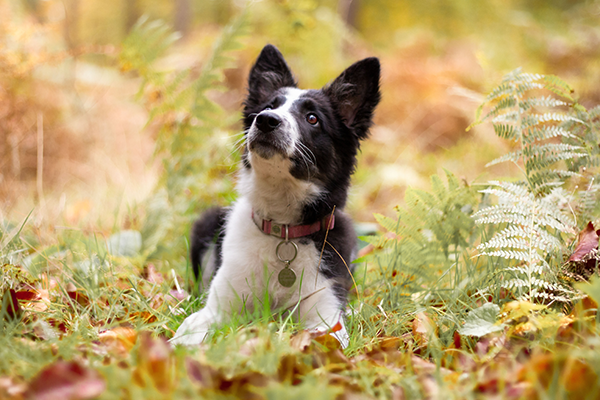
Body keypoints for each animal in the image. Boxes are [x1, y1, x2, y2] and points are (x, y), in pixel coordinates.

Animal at [171, 42, 382, 346]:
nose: (266, 120)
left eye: (312, 118)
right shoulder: (218, 307)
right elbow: (190, 329)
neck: (283, 230)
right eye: (268, 107)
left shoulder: (326, 315)